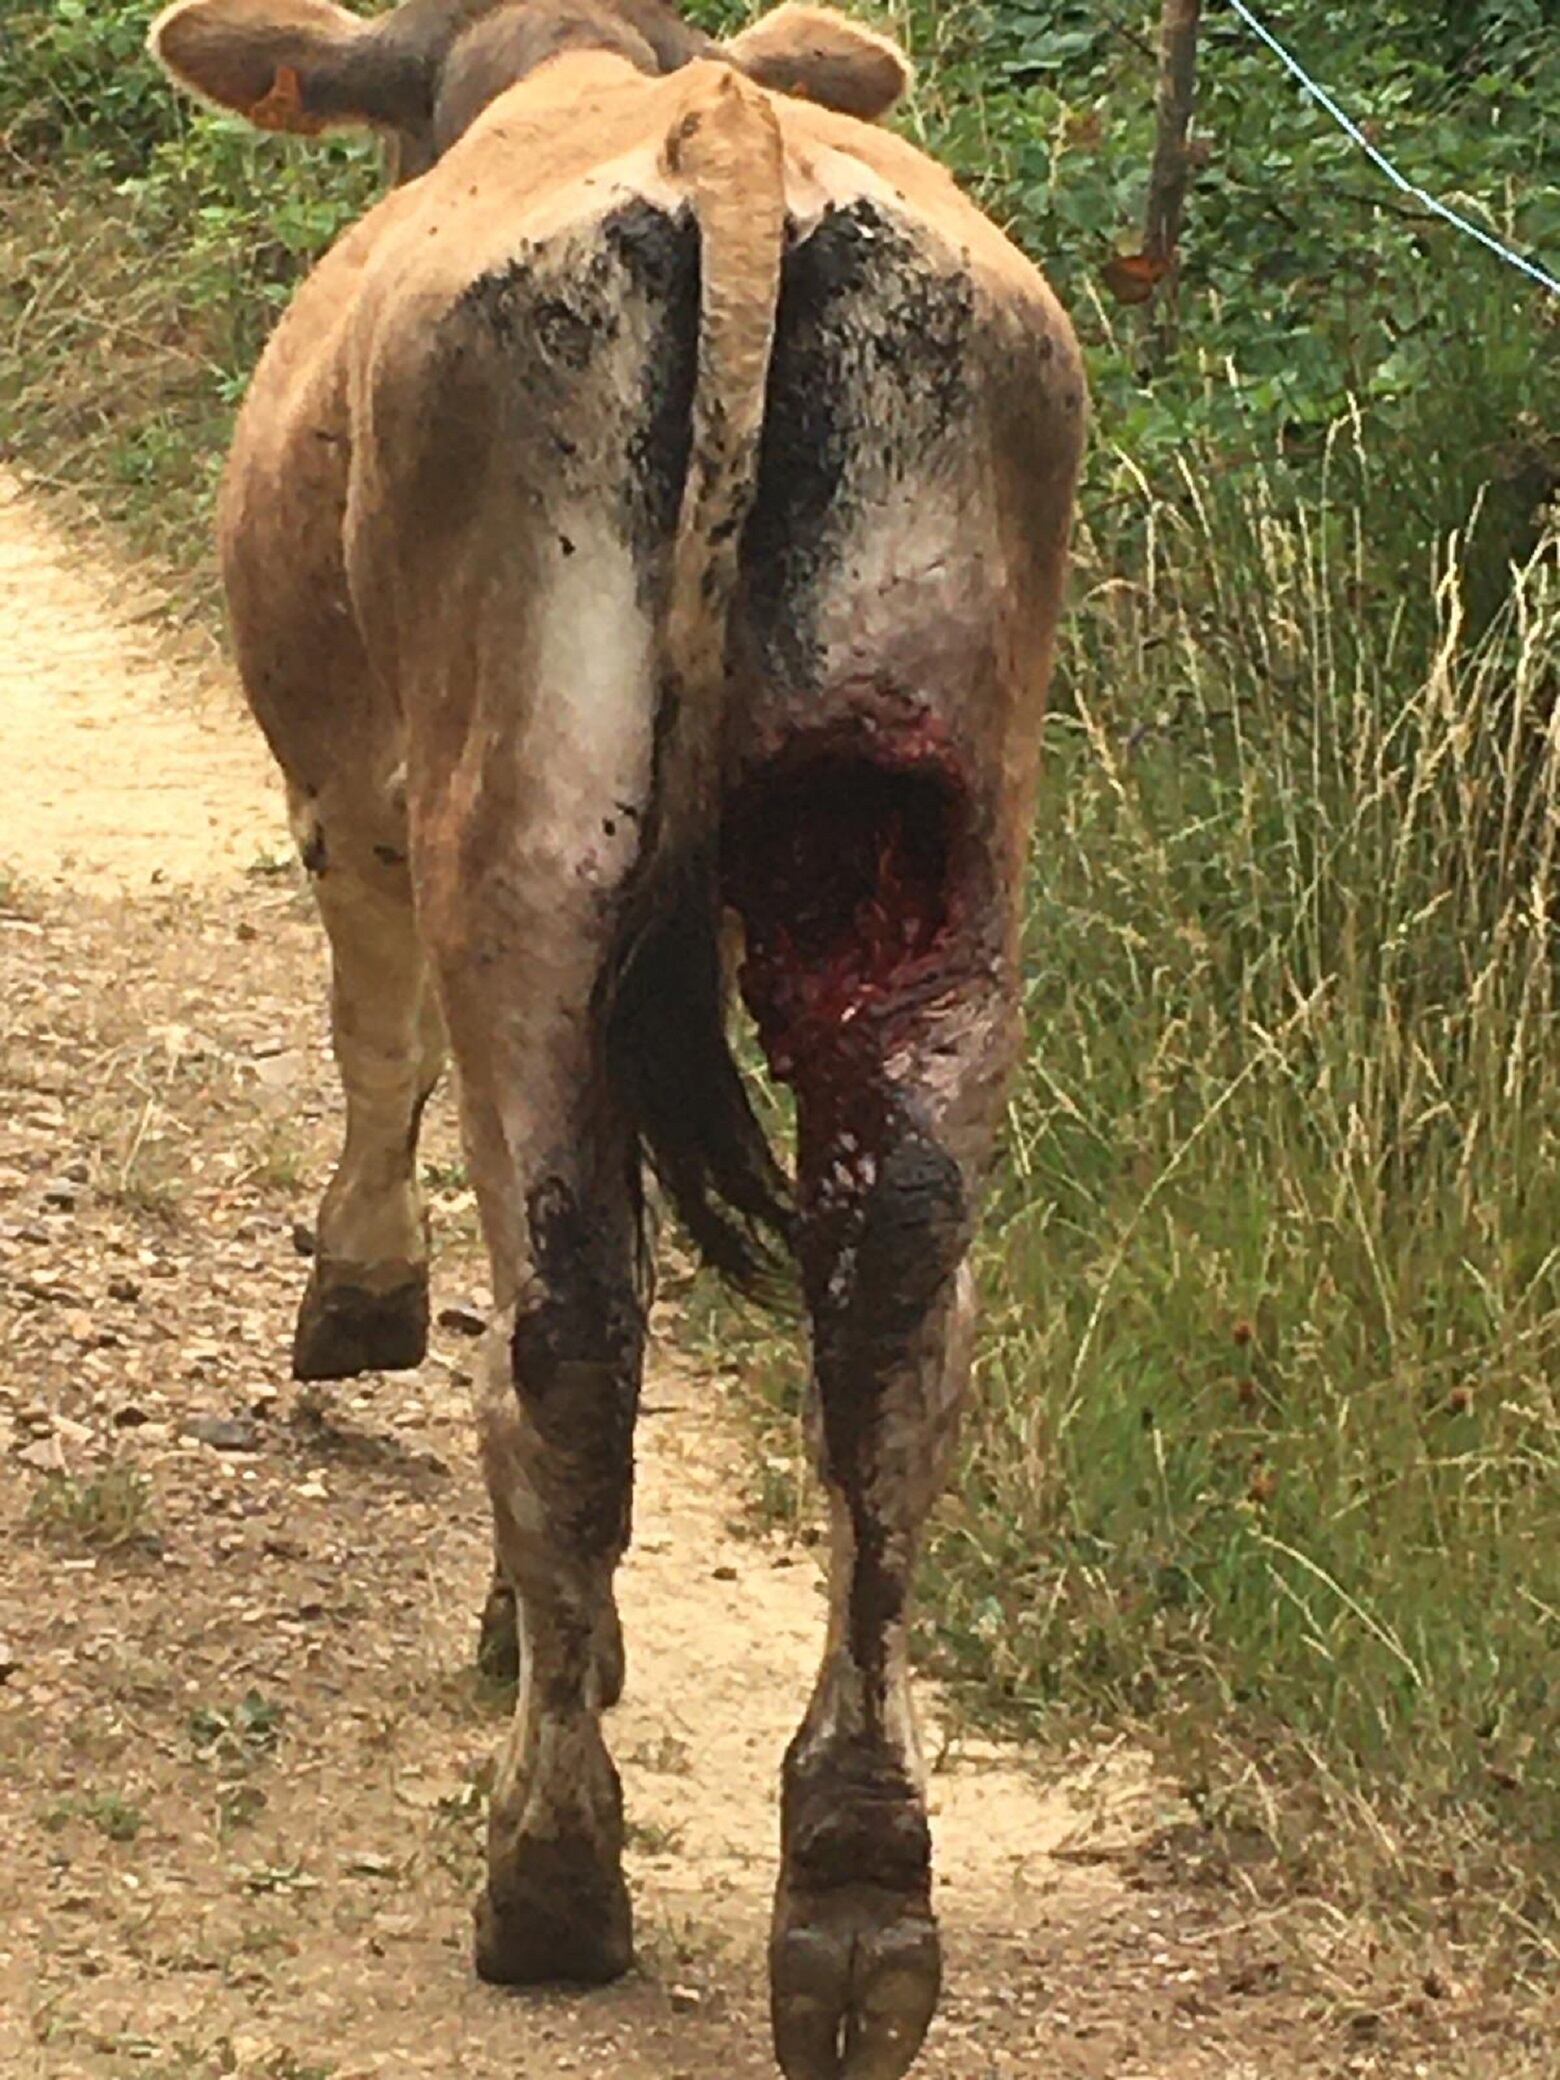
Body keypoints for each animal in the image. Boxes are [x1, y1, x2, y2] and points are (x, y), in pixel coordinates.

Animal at [149, 8, 1089, 2071]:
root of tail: (729, 132)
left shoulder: (349, 799)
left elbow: (377, 1051)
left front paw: (359, 1310)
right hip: (936, 854)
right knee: (896, 1340)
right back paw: (854, 1899)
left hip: (531, 846)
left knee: (570, 1331)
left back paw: (553, 1870)